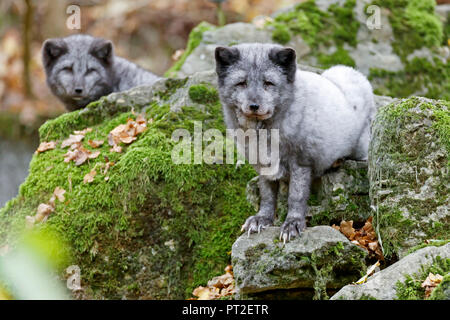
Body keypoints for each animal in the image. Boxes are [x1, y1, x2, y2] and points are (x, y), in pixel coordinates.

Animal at [215, 43, 376, 242]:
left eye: (268, 83)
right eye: (241, 83)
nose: (254, 106)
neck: (265, 133)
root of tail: (357, 76)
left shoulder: (302, 161)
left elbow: (296, 196)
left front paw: (292, 224)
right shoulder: (263, 164)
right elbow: (267, 195)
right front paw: (262, 218)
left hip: (359, 147)